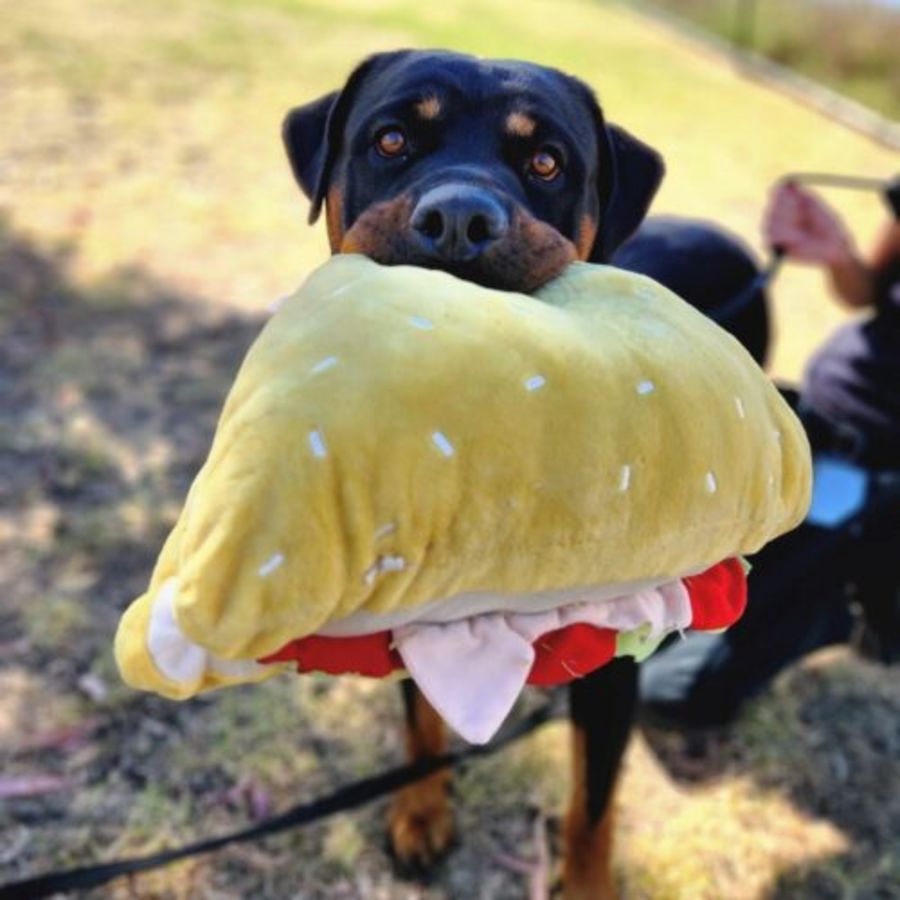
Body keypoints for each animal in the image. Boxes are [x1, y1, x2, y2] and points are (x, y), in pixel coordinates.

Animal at [282, 49, 666, 899]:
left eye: (547, 162)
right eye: (391, 140)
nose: (459, 218)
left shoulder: (611, 684)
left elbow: (594, 803)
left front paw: (587, 884)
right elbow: (422, 724)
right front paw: (422, 815)